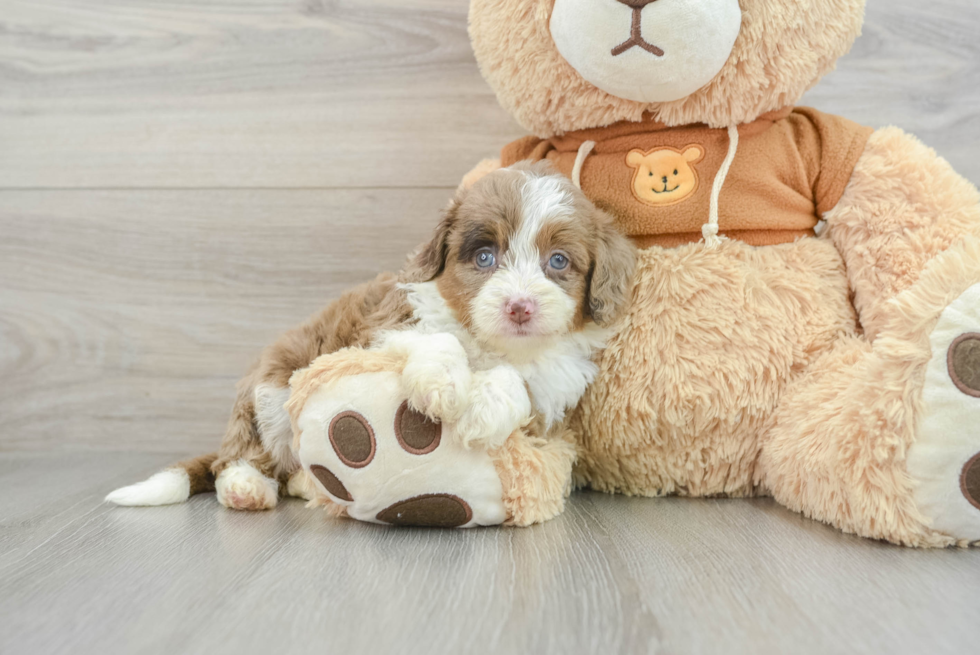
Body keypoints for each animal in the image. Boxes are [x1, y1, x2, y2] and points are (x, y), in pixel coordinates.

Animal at [107, 161, 636, 510]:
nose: (519, 306)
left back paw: (304, 486)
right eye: (485, 256)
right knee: (244, 455)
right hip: (271, 391)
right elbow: (438, 340)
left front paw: (484, 409)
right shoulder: (383, 328)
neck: (492, 343)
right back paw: (247, 487)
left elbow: (518, 384)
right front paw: (443, 385)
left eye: (558, 261)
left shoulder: (550, 392)